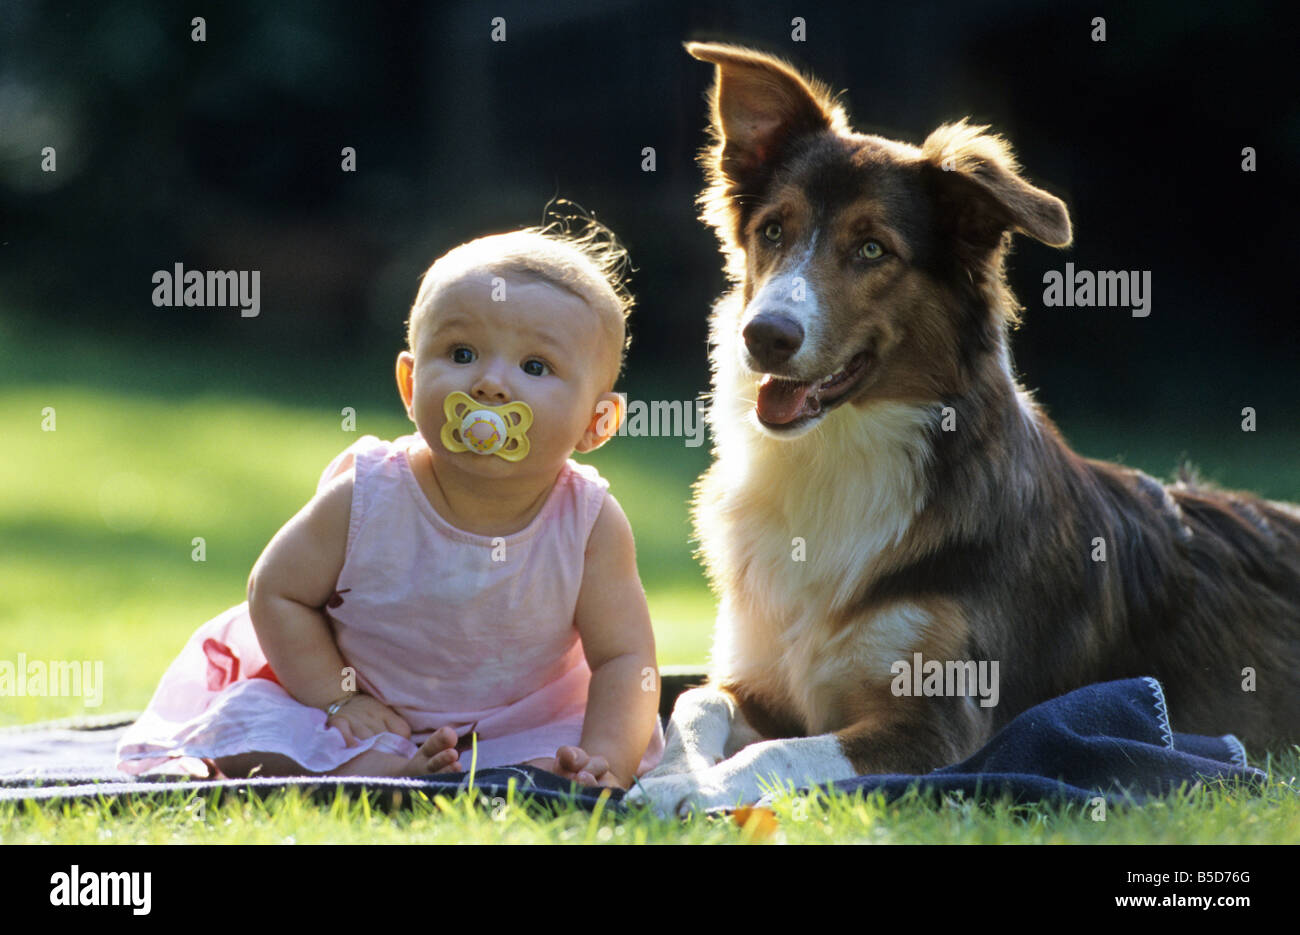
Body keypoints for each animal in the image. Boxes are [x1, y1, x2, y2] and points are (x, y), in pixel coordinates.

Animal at [624, 40, 1294, 816]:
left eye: (873, 250)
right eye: (772, 231)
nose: (762, 336)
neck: (840, 454)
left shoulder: (939, 727)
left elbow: (781, 751)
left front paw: (693, 788)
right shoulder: (760, 679)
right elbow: (695, 700)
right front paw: (669, 772)